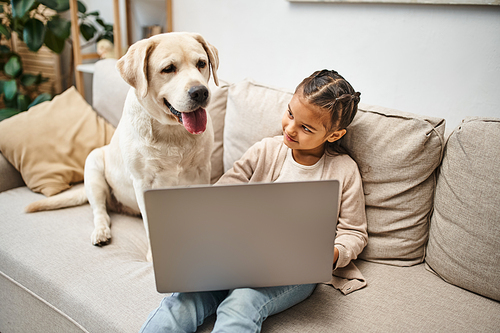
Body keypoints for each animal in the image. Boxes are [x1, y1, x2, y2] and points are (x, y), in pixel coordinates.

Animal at [26, 31, 219, 260]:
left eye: (201, 63)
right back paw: (101, 232)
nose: (200, 92)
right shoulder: (144, 182)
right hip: (94, 166)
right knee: (100, 212)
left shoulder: (202, 170)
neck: (173, 132)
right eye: (168, 68)